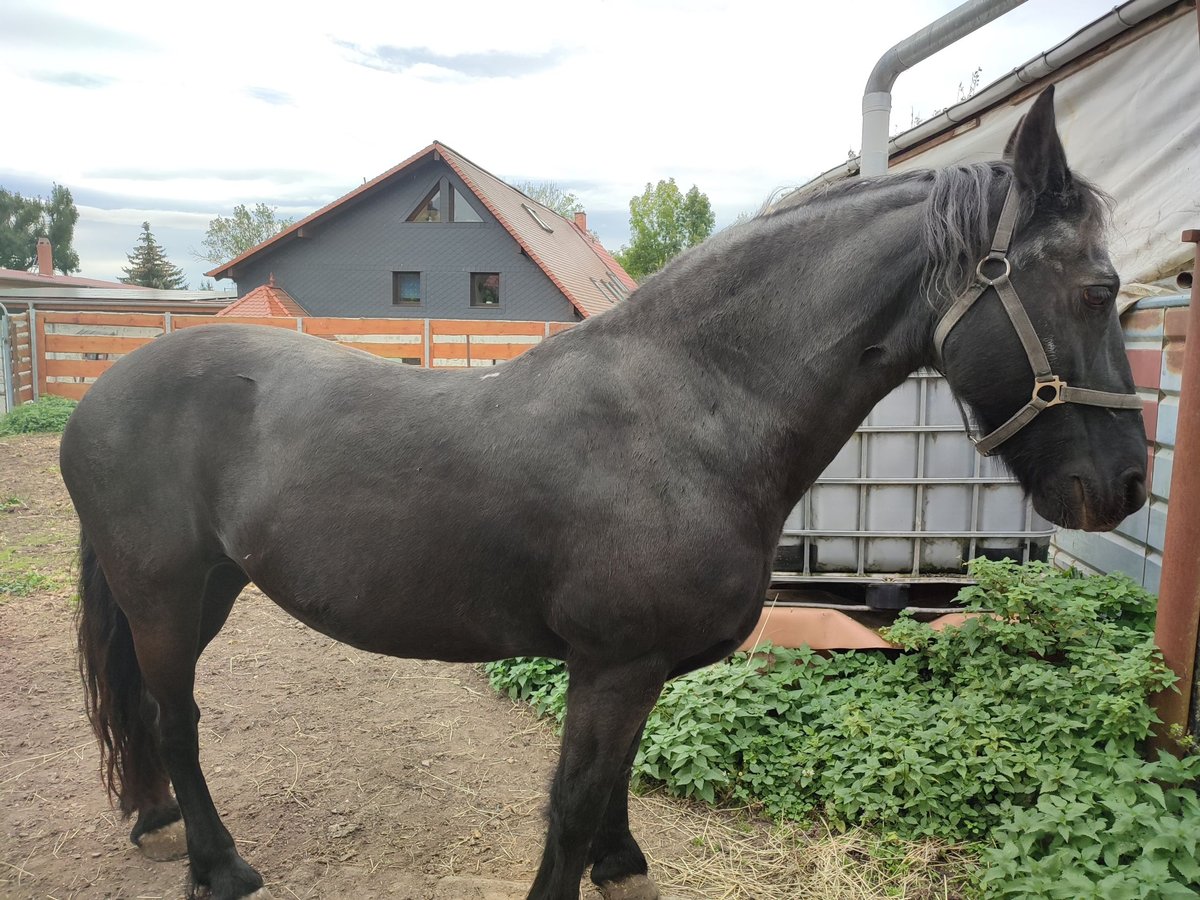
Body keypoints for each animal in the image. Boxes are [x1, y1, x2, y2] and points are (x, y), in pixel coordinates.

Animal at [63, 86, 1142, 900]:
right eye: (1098, 291)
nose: (1125, 485)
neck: (691, 411)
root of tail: (104, 393)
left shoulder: (635, 671)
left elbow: (611, 791)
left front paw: (626, 868)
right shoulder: (614, 666)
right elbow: (573, 810)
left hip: (208, 588)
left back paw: (160, 823)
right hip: (167, 594)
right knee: (175, 716)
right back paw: (219, 866)